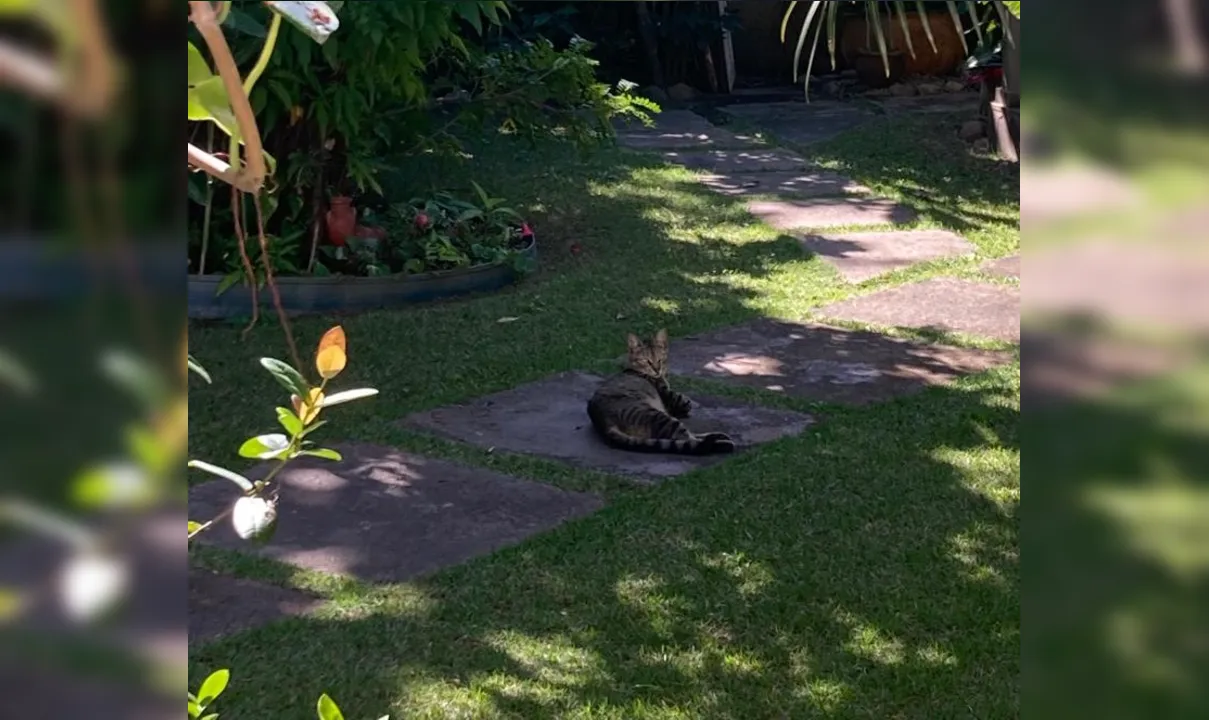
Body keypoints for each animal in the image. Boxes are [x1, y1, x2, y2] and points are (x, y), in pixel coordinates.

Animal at [585, 328, 735, 451]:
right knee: (688, 440)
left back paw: (718, 436)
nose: (657, 369)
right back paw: (720, 442)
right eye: (646, 361)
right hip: (658, 416)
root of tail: (604, 423)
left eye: (660, 359)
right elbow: (683, 401)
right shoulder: (669, 395)